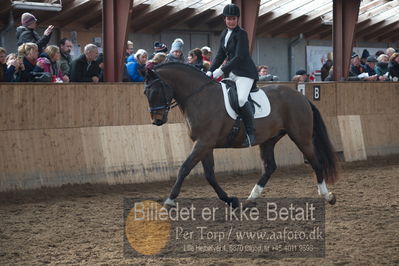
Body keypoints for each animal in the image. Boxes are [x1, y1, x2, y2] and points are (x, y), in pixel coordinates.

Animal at [142, 61, 340, 208]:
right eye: (145, 92)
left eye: (156, 91)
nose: (157, 120)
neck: (199, 96)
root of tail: (301, 96)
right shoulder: (205, 144)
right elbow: (210, 175)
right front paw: (231, 200)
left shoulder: (203, 142)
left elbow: (184, 168)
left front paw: (169, 200)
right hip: (269, 139)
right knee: (269, 167)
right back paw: (250, 199)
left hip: (301, 137)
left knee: (315, 162)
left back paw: (327, 196)